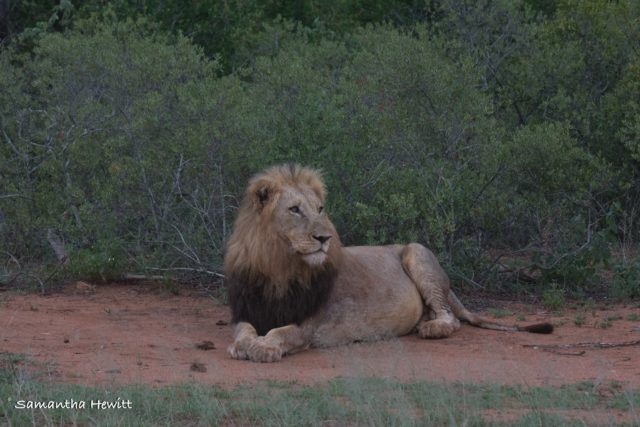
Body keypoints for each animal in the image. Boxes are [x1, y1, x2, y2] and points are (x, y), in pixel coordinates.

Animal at [225, 164, 552, 362]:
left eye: (320, 209)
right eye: (294, 209)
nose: (325, 237)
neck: (279, 267)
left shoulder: (309, 324)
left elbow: (281, 333)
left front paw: (263, 346)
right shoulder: (249, 309)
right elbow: (243, 332)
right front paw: (244, 345)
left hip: (416, 251)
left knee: (451, 317)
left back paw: (432, 328)